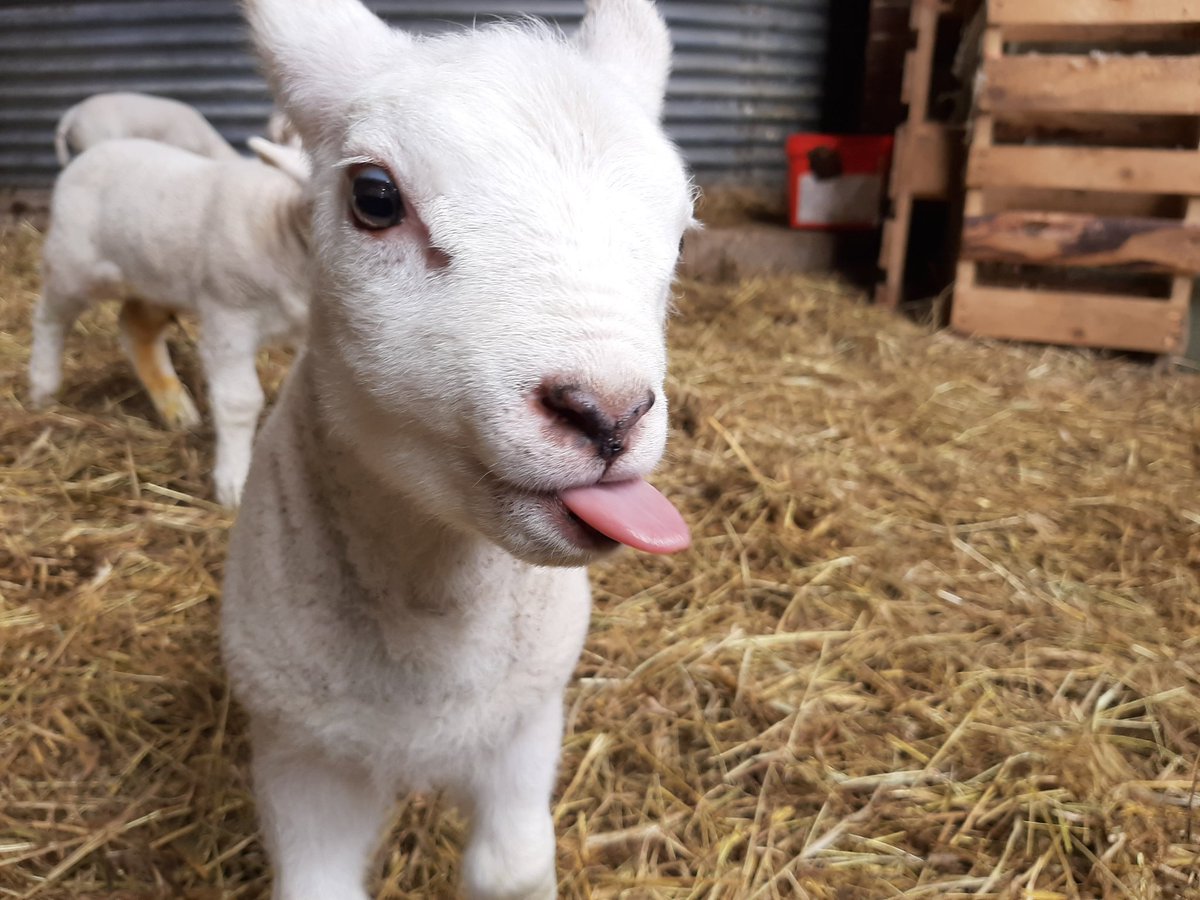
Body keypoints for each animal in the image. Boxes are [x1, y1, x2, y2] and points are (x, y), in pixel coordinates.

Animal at [28, 136, 311, 507]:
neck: (282, 225)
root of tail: (98, 149)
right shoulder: (229, 316)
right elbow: (239, 401)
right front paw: (234, 484)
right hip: (73, 265)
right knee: (49, 317)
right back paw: (42, 386)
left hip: (157, 280)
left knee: (136, 328)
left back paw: (178, 411)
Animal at [220, 0, 694, 897]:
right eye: (374, 196)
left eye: (682, 233)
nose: (606, 414)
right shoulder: (300, 751)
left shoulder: (527, 718)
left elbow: (511, 868)